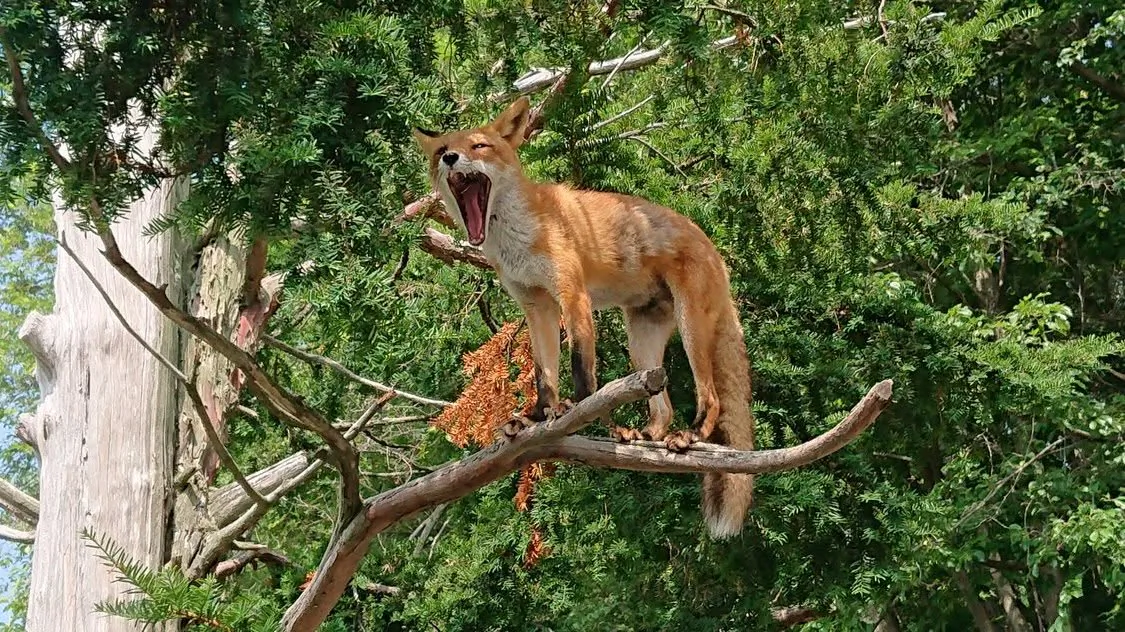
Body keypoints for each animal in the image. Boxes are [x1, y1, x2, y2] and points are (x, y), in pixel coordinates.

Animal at [413, 96, 755, 539]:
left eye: (479, 146)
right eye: (442, 150)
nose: (451, 158)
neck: (516, 239)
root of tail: (714, 249)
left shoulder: (572, 294)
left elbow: (581, 371)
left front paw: (577, 413)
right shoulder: (536, 306)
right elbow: (544, 374)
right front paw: (536, 417)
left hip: (691, 329)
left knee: (709, 398)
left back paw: (691, 436)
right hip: (641, 342)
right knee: (662, 408)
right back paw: (643, 435)